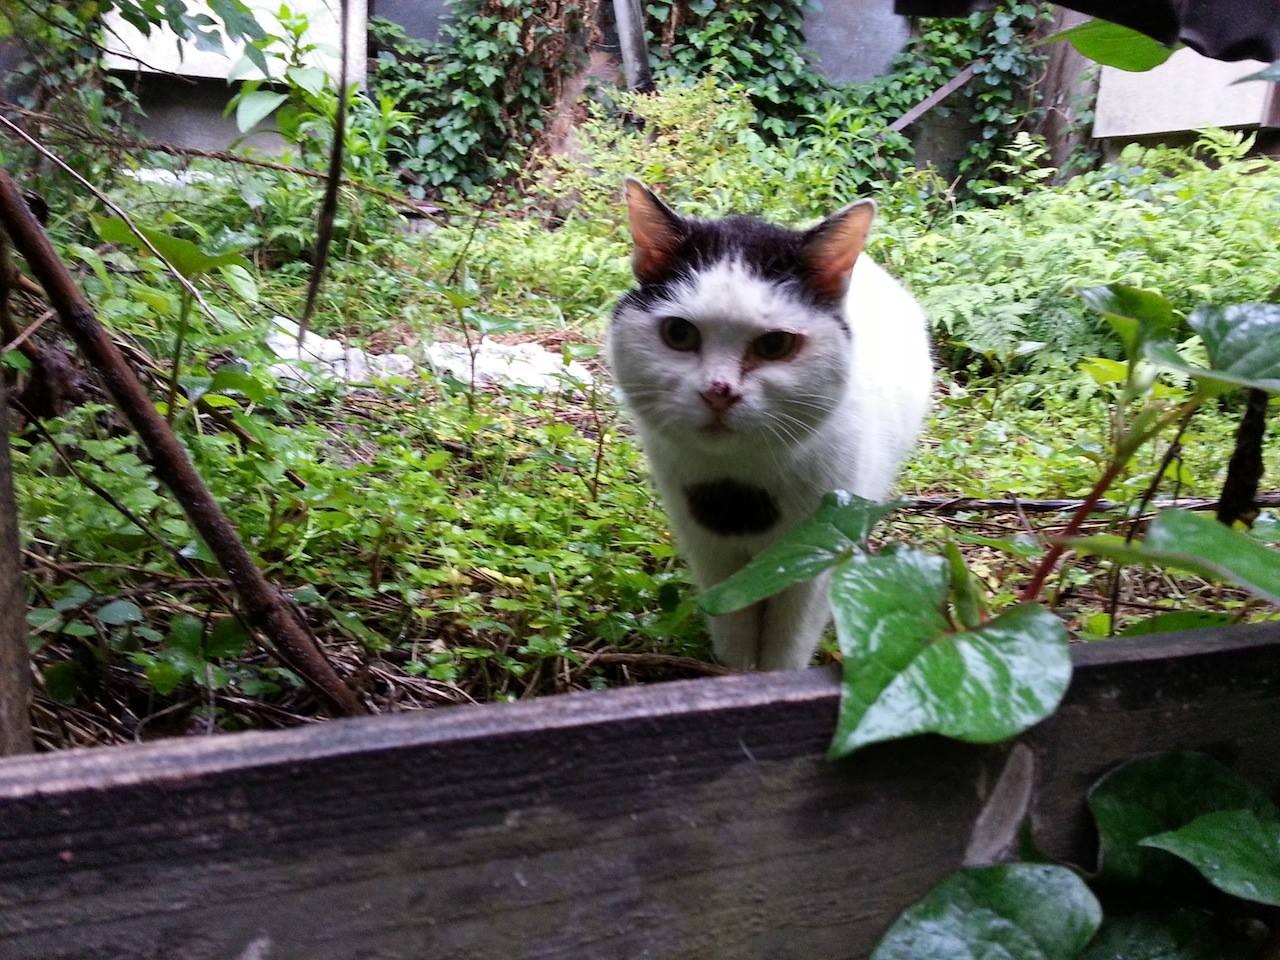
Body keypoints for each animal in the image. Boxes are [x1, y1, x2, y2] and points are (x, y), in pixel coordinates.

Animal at [609, 181, 931, 675]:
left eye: (775, 345)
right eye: (679, 335)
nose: (718, 391)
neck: (741, 486)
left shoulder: (813, 553)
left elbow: (787, 645)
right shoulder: (711, 553)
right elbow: (733, 628)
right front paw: (735, 678)